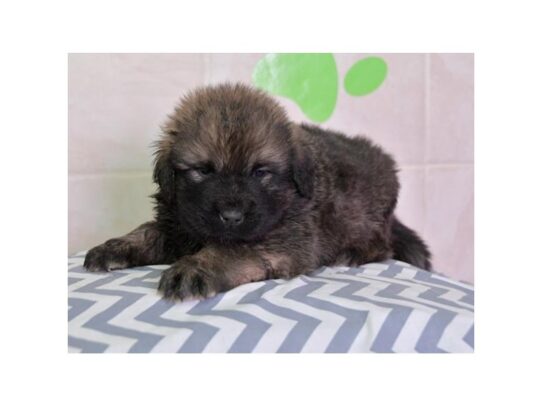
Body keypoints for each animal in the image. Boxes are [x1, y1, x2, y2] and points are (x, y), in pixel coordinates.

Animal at [84, 83, 434, 302]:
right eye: (203, 170)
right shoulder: (177, 223)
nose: (231, 216)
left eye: (261, 172)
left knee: (382, 245)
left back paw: (351, 254)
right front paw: (113, 247)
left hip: (365, 217)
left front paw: (196, 268)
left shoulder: (284, 240)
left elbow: (230, 250)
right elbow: (146, 232)